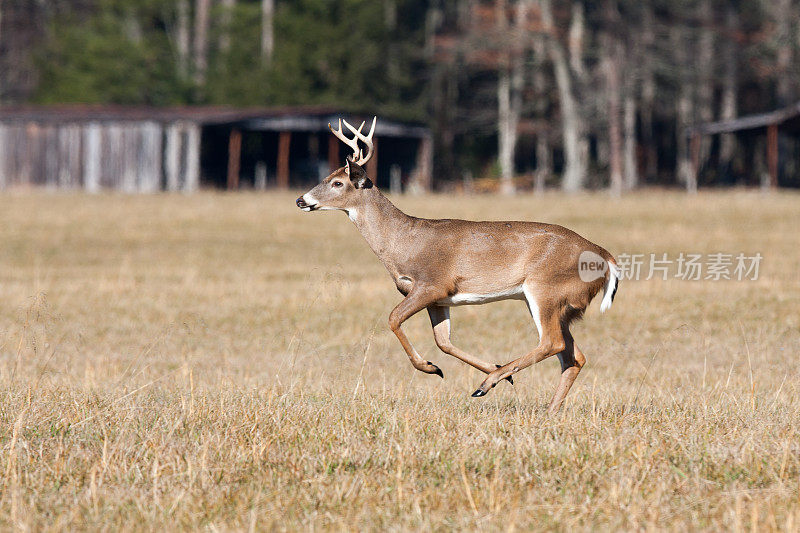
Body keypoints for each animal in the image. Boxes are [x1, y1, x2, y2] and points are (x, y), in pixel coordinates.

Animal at [296, 117, 616, 412]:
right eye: (327, 176)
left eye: (338, 182)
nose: (301, 200)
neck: (403, 241)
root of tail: (605, 256)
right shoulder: (438, 300)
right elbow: (443, 342)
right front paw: (463, 367)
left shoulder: (432, 284)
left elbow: (393, 318)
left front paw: (432, 367)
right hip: (560, 305)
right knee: (574, 356)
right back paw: (544, 408)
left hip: (546, 290)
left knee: (553, 343)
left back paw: (487, 385)